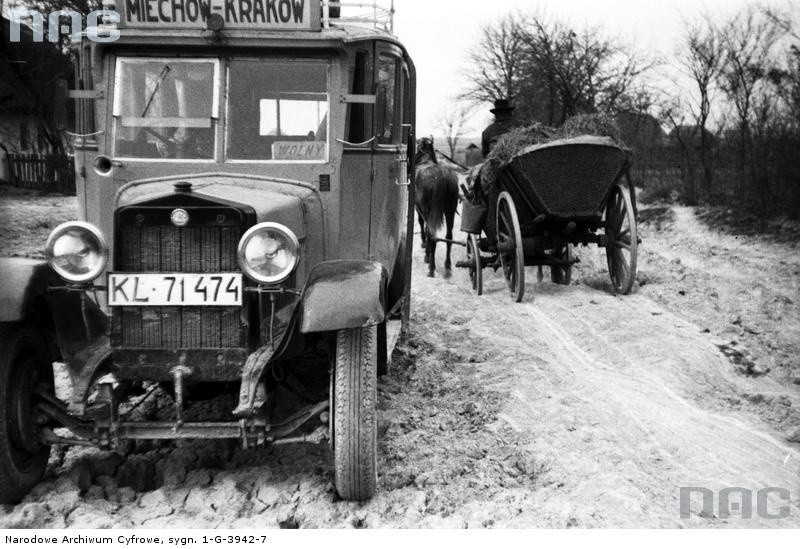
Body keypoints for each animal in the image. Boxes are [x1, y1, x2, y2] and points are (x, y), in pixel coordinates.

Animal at [416, 135, 460, 276]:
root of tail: (443, 175)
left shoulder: (419, 208)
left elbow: (421, 224)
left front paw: (424, 246)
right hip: (450, 211)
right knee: (448, 237)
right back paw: (447, 265)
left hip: (429, 210)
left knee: (432, 234)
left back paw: (431, 265)